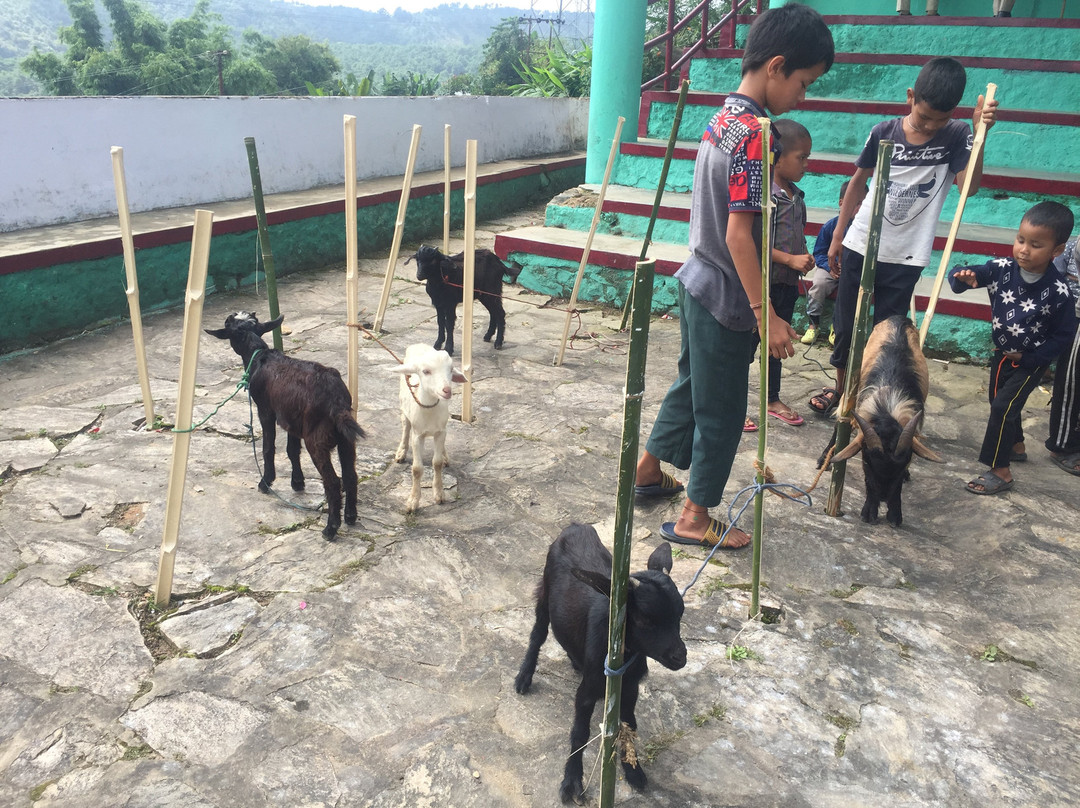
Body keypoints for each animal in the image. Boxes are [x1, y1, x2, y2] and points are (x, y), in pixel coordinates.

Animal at [204, 313, 365, 540]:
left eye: (229, 325)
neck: (259, 356)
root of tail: (337, 400)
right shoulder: (292, 419)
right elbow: (292, 450)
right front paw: (297, 482)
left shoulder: (266, 410)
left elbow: (268, 448)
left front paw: (266, 482)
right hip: (345, 437)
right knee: (350, 475)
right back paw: (350, 516)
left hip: (316, 438)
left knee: (333, 482)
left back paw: (330, 528)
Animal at [395, 343, 466, 512]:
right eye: (426, 371)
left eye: (451, 369)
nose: (447, 390)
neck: (429, 409)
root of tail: (418, 344)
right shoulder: (417, 435)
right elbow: (416, 469)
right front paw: (413, 501)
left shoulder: (441, 432)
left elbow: (437, 463)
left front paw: (439, 494)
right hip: (404, 410)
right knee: (405, 428)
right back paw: (401, 452)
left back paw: (446, 456)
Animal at [514, 524, 682, 803]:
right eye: (644, 620)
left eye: (680, 615)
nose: (681, 657)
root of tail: (575, 526)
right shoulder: (589, 688)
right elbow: (579, 732)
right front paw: (572, 781)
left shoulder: (630, 687)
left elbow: (628, 725)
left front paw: (633, 770)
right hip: (544, 592)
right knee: (538, 633)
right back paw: (524, 676)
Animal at [820, 315, 941, 529]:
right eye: (866, 462)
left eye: (904, 463)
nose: (883, 497)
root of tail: (897, 317)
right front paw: (869, 512)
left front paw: (894, 515)